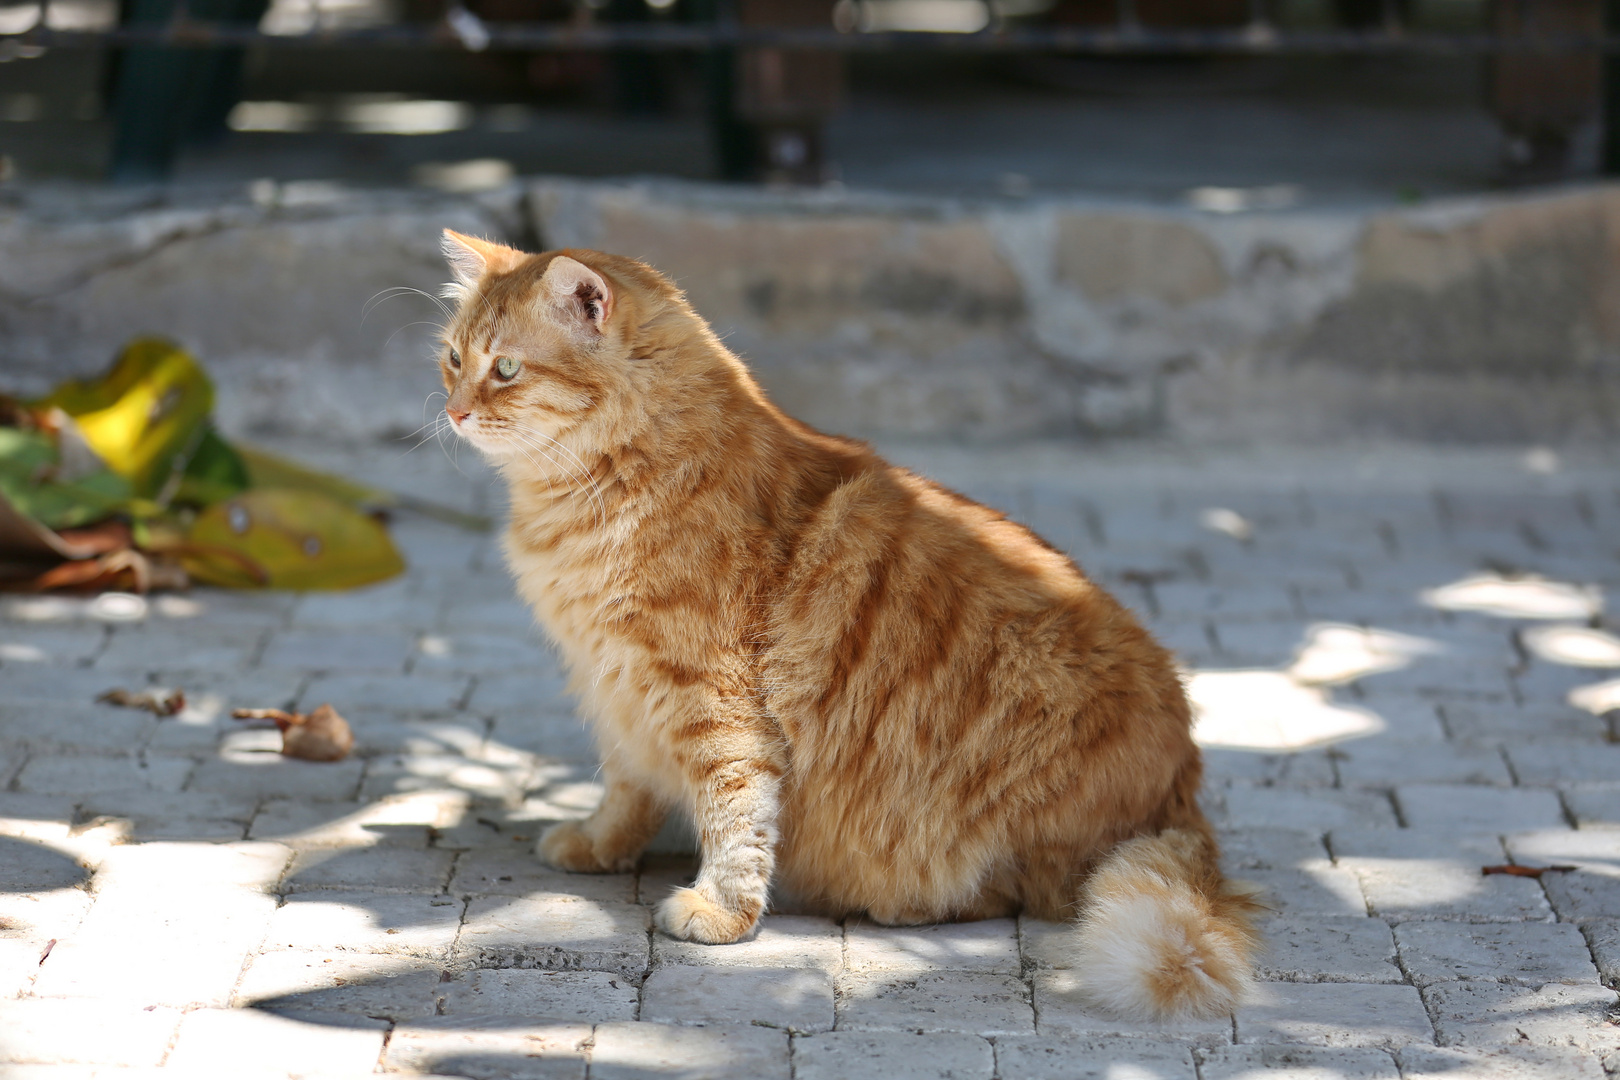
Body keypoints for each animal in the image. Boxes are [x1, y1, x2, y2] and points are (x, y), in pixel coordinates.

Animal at [437, 228, 1257, 1023]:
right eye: (453, 359)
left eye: (505, 368)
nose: (453, 412)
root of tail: (1183, 788)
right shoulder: (617, 687)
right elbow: (626, 789)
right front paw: (599, 842)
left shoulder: (711, 696)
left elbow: (734, 807)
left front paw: (722, 909)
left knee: (1026, 892)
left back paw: (900, 904)